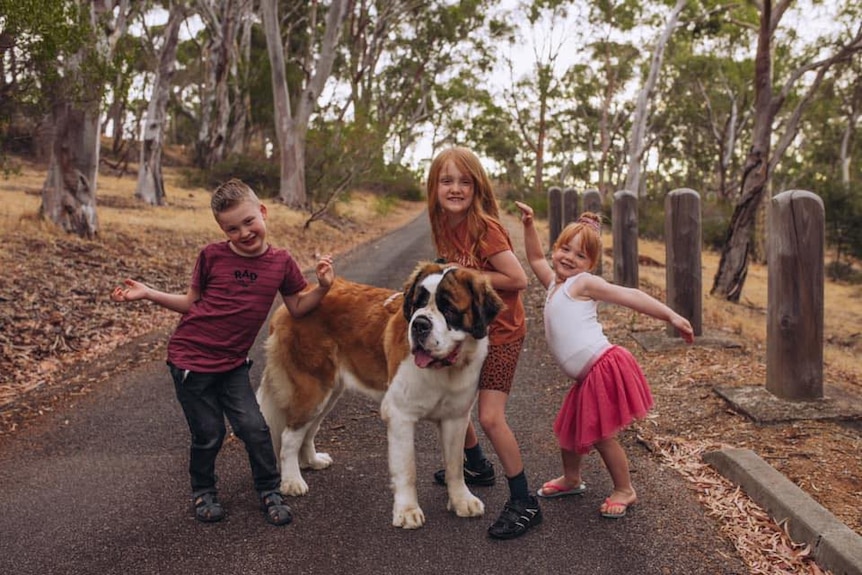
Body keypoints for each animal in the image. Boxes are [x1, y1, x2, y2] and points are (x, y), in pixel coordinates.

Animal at [255, 264, 506, 528]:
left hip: (328, 393)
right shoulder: (400, 415)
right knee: (289, 436)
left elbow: (455, 465)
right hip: (312, 389)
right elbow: (407, 468)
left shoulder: (455, 418)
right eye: (417, 304)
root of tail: (292, 303)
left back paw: (312, 461)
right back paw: (292, 481)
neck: (445, 369)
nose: (419, 324)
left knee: (308, 430)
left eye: (448, 309)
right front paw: (407, 511)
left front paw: (461, 501)